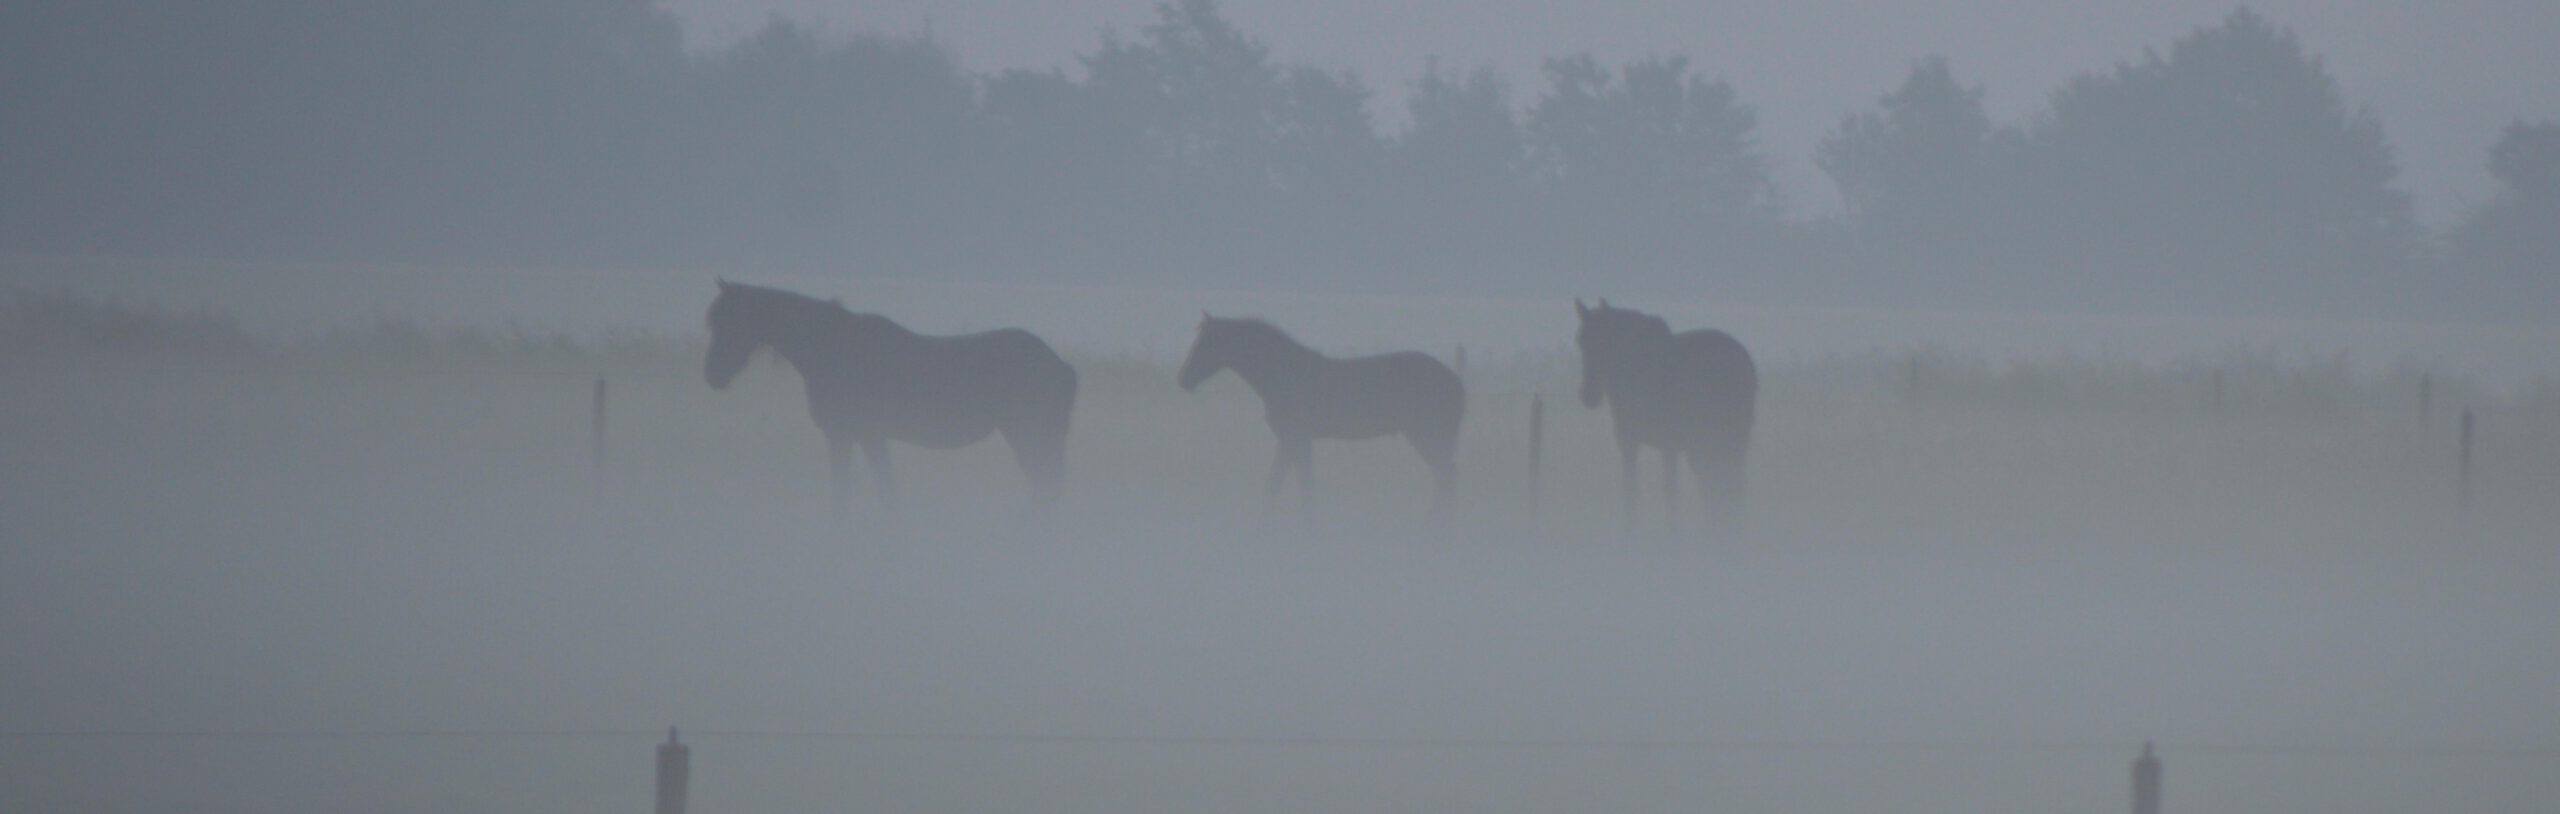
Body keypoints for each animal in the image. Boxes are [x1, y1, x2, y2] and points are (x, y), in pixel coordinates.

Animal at [696, 280, 1075, 517]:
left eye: (734, 321)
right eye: (714, 321)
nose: (713, 376)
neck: (831, 350)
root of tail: (1058, 364)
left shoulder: (846, 436)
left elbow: (851, 495)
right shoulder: (866, 438)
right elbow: (882, 494)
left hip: (1027, 435)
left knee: (1045, 488)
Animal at [1177, 314, 1464, 517]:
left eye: (1207, 344)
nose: (1183, 379)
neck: (1283, 374)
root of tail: (1455, 380)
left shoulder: (1299, 439)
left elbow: (1304, 488)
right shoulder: (1288, 441)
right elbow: (1276, 486)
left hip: (1426, 436)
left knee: (1446, 476)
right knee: (1446, 477)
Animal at [1566, 296, 1751, 534]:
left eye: (1606, 342)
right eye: (1581, 341)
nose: (1588, 394)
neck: (1635, 373)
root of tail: (1745, 364)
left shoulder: (1663, 443)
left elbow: (1664, 491)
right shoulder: (1636, 443)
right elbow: (1635, 490)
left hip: (1723, 440)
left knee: (1725, 485)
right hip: (1714, 443)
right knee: (1718, 486)